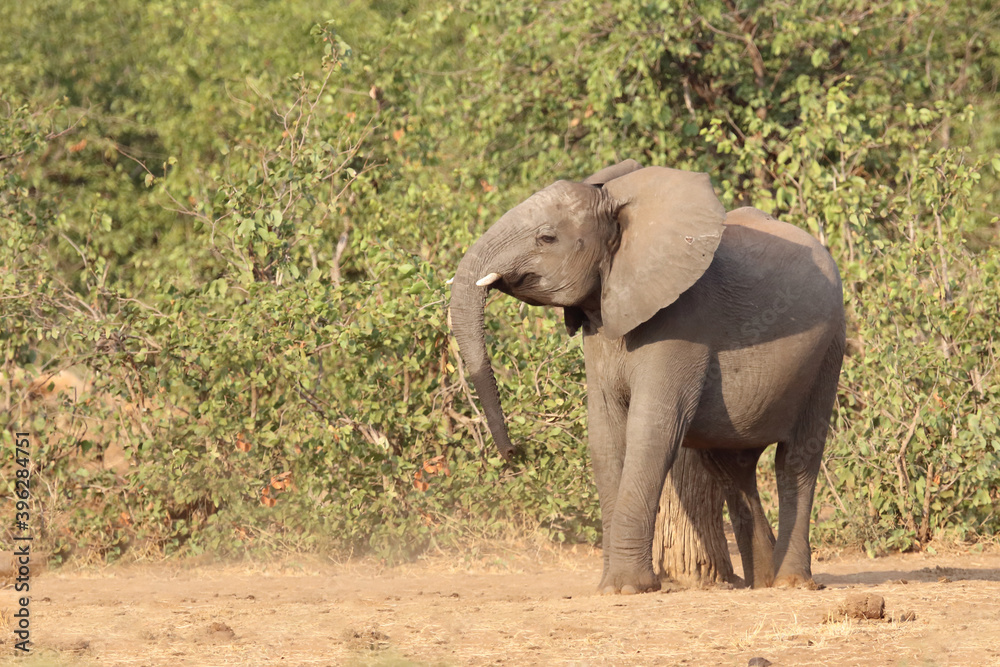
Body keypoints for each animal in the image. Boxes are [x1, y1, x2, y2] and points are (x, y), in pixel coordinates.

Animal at [449, 160, 845, 594]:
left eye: (546, 237)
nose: (511, 453)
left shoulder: (682, 320)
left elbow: (653, 428)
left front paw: (626, 588)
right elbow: (605, 435)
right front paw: (607, 587)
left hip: (828, 350)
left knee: (795, 460)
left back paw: (791, 583)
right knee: (732, 470)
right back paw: (762, 583)